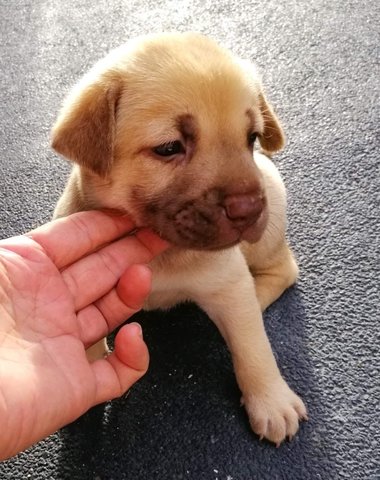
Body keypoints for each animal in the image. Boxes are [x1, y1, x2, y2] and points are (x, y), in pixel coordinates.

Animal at [51, 32, 306, 446]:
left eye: (251, 138)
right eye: (169, 148)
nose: (249, 209)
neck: (161, 252)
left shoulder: (229, 281)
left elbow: (254, 348)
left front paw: (271, 400)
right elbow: (87, 339)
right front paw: (89, 374)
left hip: (268, 230)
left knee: (282, 270)